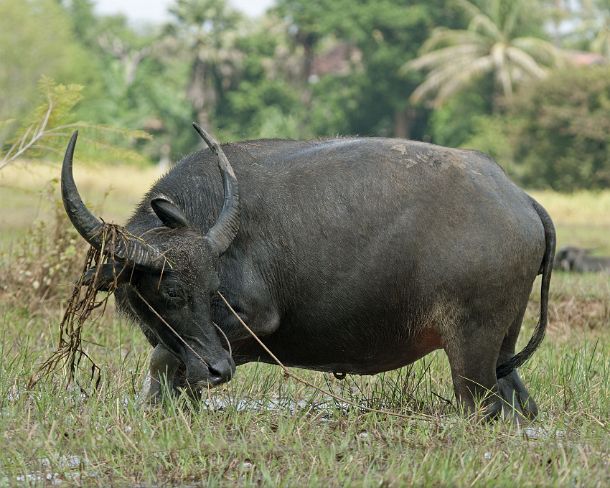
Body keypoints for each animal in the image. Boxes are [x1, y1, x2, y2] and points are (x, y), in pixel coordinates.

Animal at [59, 125, 552, 420]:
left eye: (211, 287)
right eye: (173, 292)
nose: (219, 370)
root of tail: (519, 197)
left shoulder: (252, 322)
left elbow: (163, 361)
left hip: (471, 348)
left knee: (483, 407)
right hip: (501, 346)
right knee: (519, 403)